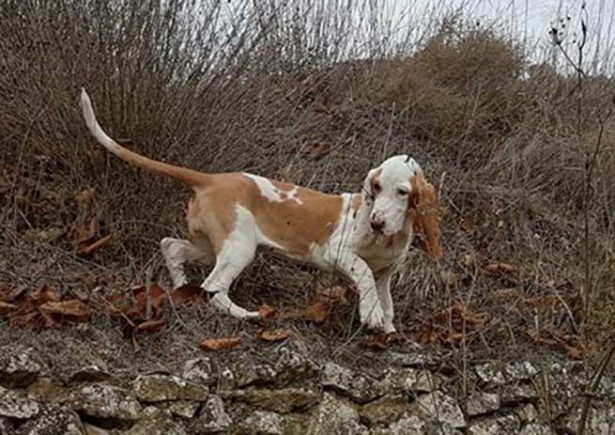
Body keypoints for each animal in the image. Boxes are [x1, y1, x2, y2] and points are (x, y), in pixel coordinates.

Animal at [80, 89, 442, 334]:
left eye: (403, 192)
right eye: (375, 187)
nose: (376, 222)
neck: (389, 238)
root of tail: (210, 179)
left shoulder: (386, 274)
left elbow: (386, 300)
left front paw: (387, 328)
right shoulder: (339, 252)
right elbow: (364, 273)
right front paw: (371, 315)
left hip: (212, 245)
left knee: (172, 247)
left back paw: (182, 286)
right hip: (239, 247)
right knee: (213, 288)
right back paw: (246, 314)